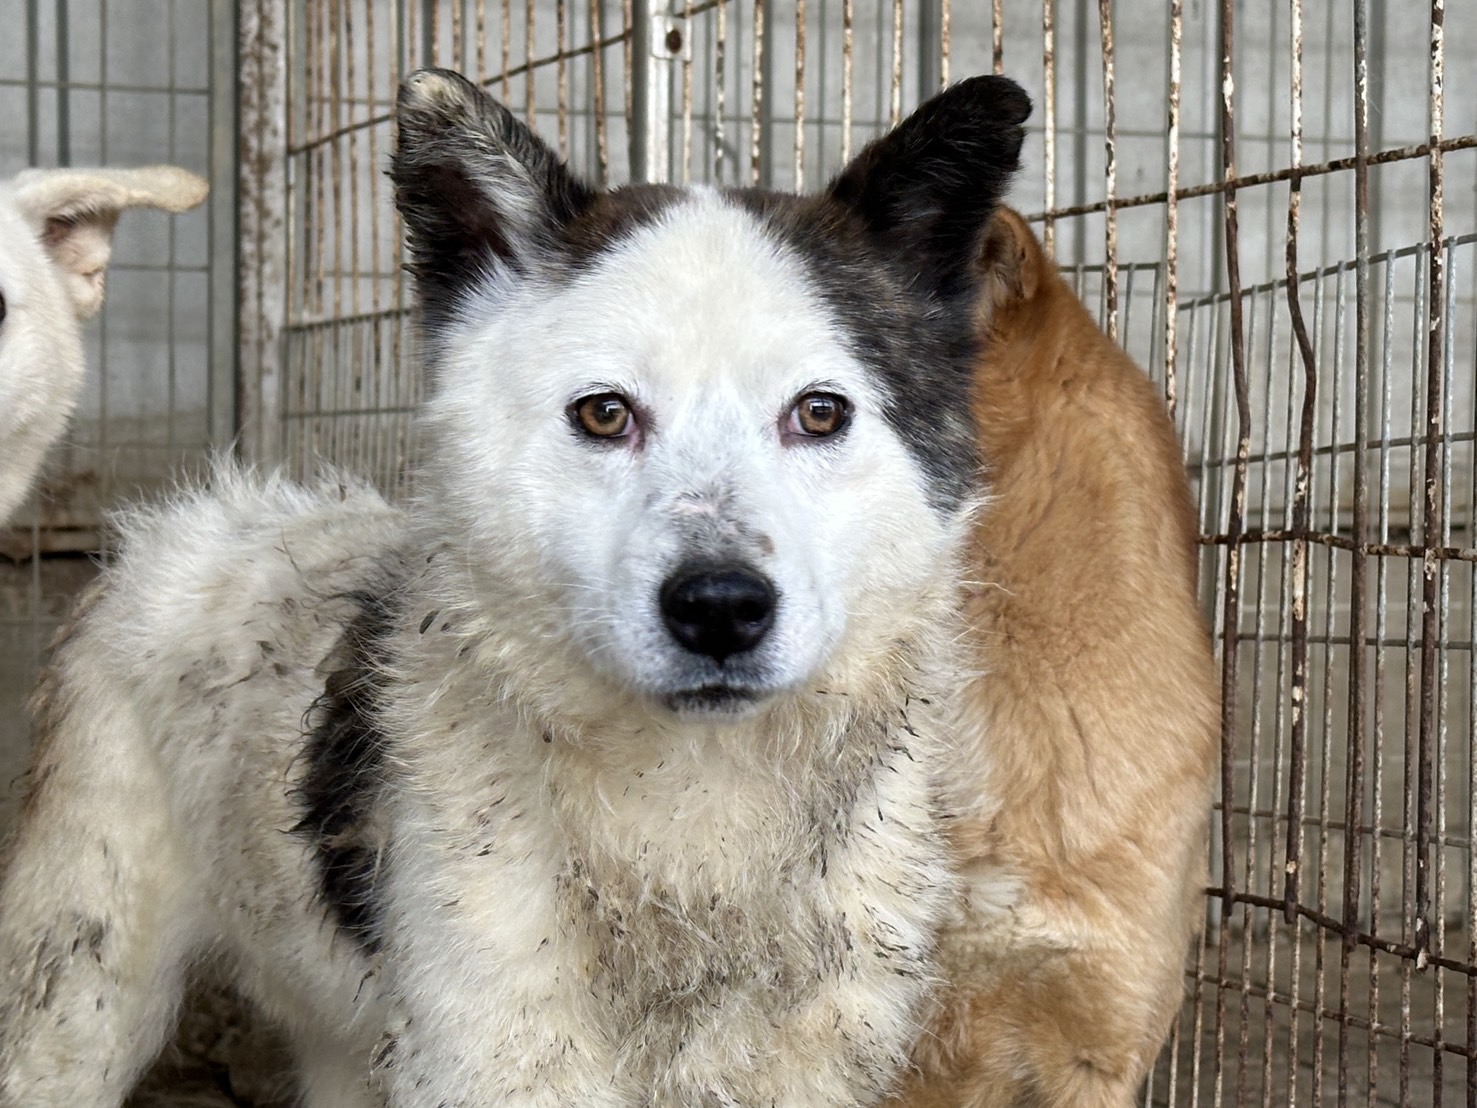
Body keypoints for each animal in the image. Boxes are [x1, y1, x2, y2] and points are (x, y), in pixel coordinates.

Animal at [2, 69, 1027, 1108]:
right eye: (604, 413)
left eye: (819, 413)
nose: (720, 609)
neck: (688, 826)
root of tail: (181, 519)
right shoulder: (492, 1050)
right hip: (79, 992)